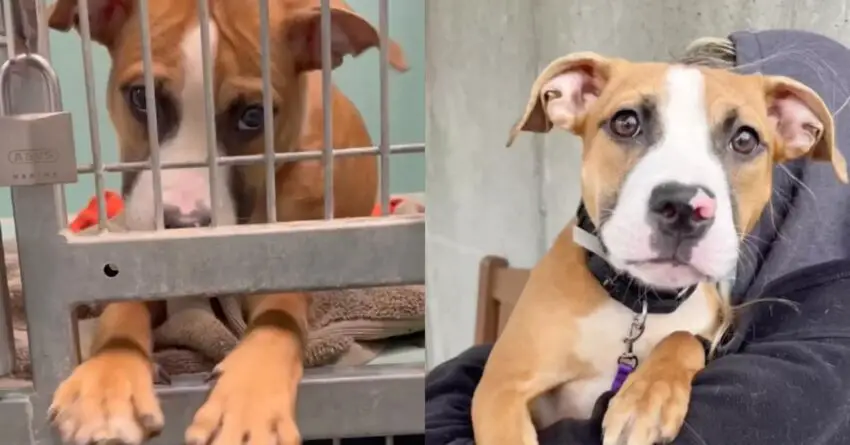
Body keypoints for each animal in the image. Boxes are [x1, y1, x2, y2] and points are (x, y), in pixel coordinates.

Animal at [470, 53, 848, 444]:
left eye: (745, 139)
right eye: (625, 123)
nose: (684, 207)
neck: (640, 305)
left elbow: (683, 338)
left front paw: (646, 400)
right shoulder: (500, 388)